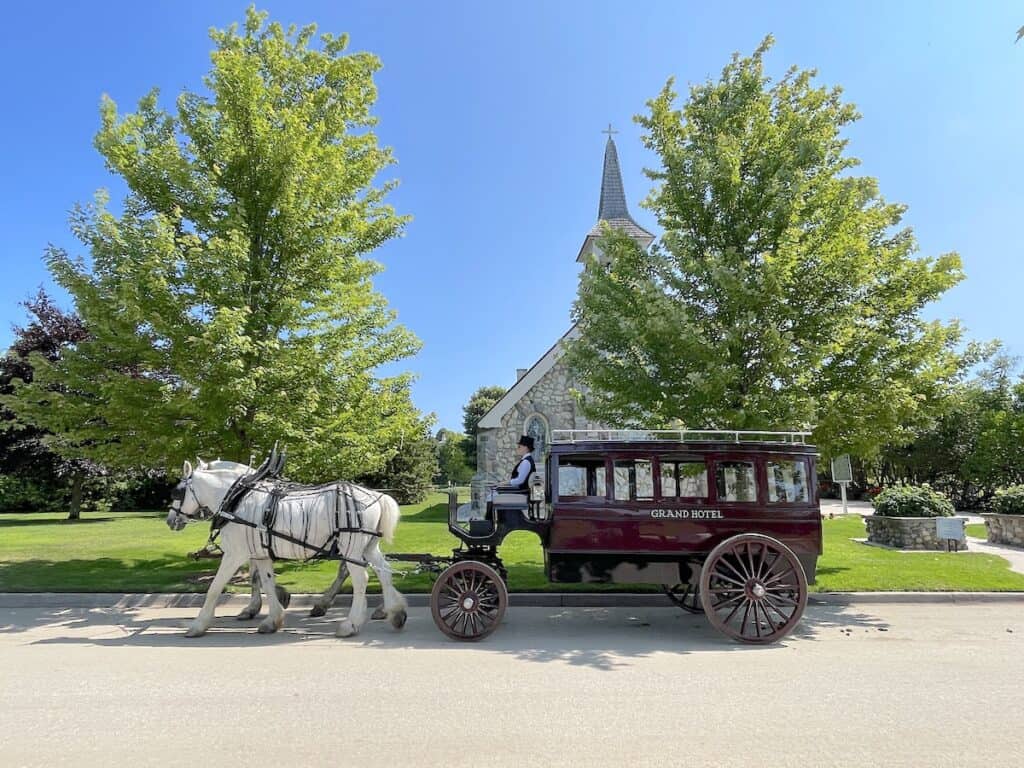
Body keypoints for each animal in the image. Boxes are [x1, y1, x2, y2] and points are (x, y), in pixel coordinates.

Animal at [167, 460, 407, 638]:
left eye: (177, 493)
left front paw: (198, 625)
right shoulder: (260, 553)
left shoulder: (235, 554)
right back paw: (395, 613)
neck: (238, 499)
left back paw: (350, 624)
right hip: (368, 547)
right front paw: (272, 619)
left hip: (351, 547)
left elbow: (215, 587)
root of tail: (375, 496)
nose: (170, 520)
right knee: (384, 572)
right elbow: (266, 582)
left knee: (360, 579)